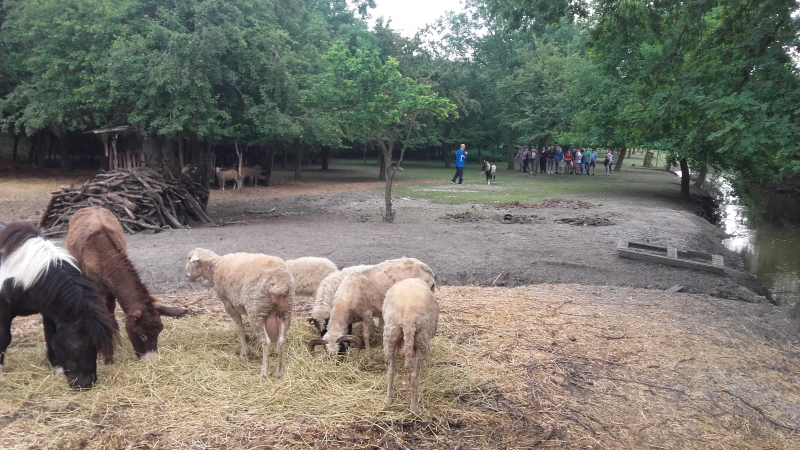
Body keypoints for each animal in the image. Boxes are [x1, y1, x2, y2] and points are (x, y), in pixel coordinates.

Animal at [0, 221, 118, 386]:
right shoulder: (3, 311)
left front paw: (57, 368)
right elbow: (4, 337)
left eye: (96, 347)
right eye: (80, 347)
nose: (86, 384)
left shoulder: (49, 310)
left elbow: (50, 336)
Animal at [186, 248, 296, 378]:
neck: (215, 266)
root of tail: (279, 281)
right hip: (285, 310)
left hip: (257, 309)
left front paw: (244, 352)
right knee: (281, 341)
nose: (187, 275)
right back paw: (279, 372)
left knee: (266, 342)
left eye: (189, 259)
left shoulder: (229, 304)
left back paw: (264, 372)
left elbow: (239, 328)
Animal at [382, 278, 438, 414]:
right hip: (423, 340)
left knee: (392, 371)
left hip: (390, 334)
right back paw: (415, 407)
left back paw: (389, 399)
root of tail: (409, 317)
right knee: (415, 376)